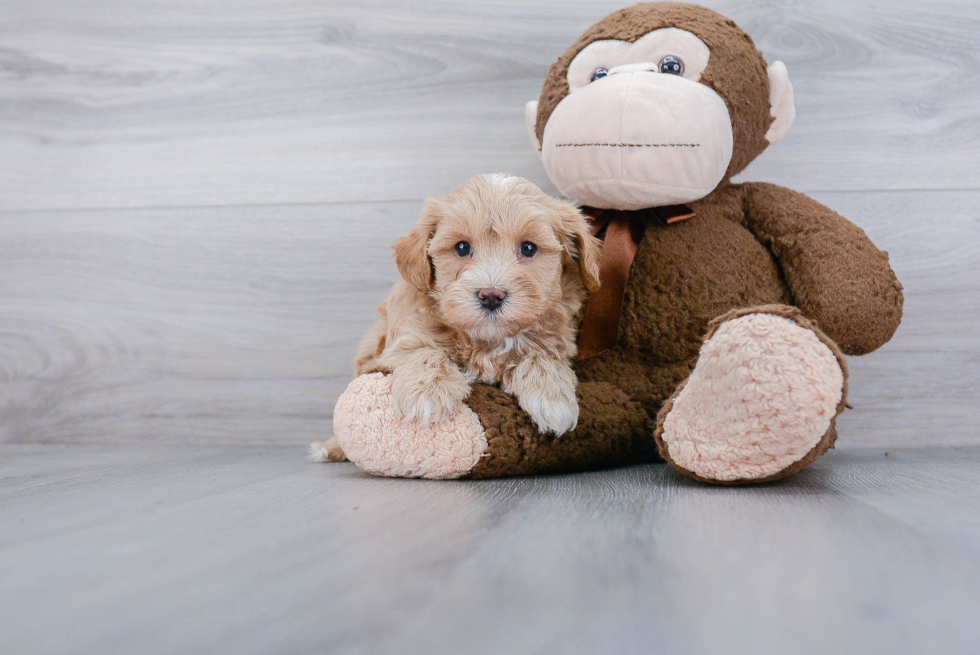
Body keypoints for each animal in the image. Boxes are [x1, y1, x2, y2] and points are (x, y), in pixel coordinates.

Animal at [350, 172, 596, 444]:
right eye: (462, 247)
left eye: (528, 248)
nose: (491, 296)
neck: (487, 341)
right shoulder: (389, 349)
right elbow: (421, 350)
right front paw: (428, 393)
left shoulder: (554, 337)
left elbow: (542, 354)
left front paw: (552, 397)